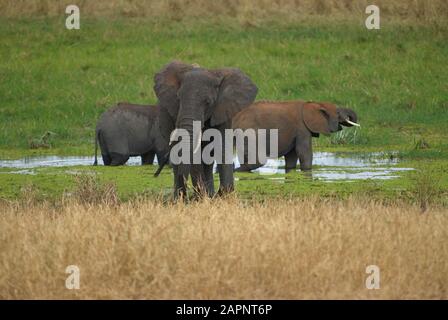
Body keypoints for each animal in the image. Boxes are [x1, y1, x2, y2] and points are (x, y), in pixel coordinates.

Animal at [154, 61, 260, 199]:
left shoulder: (223, 109)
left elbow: (221, 146)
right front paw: (204, 198)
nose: (155, 175)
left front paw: (222, 196)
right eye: (178, 99)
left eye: (208, 102)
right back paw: (181, 198)